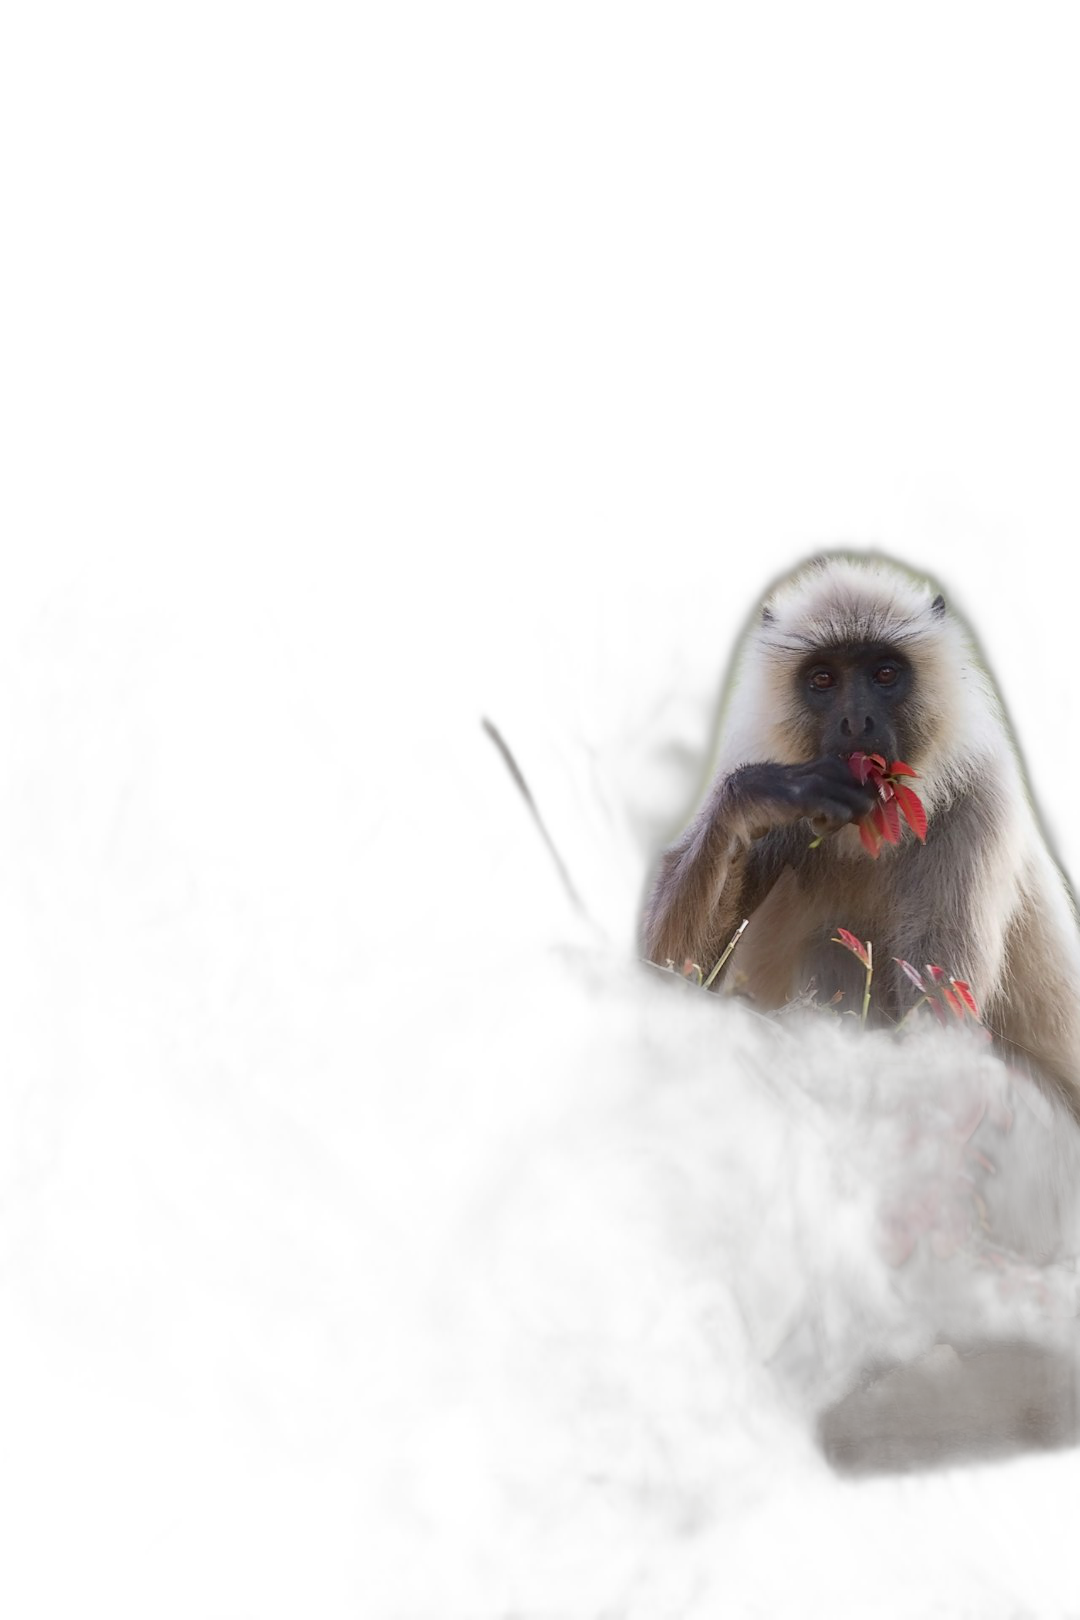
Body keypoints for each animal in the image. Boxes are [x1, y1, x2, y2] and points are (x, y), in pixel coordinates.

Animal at [641, 557, 1080, 1341]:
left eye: (883, 673)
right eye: (823, 679)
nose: (854, 722)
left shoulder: (983, 793)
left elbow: (940, 1025)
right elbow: (670, 973)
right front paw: (763, 796)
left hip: (1027, 1193)